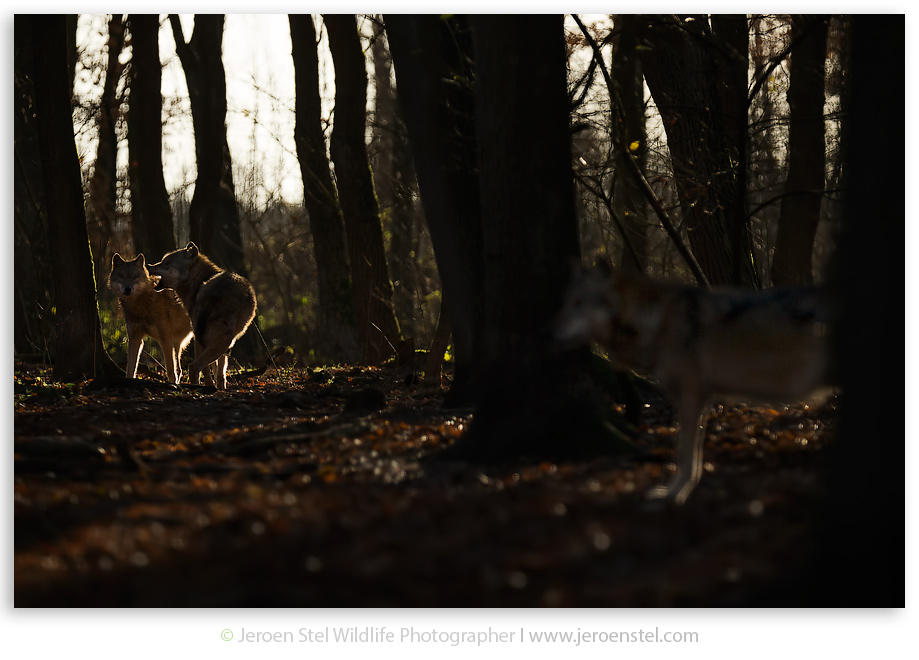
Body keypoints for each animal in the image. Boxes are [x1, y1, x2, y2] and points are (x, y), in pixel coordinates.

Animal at [107, 253, 193, 384]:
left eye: (134, 277)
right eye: (121, 276)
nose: (127, 289)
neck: (141, 305)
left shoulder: (165, 338)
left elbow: (170, 370)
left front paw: (172, 384)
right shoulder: (135, 338)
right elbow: (131, 367)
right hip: (177, 343)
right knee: (180, 369)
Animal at [147, 243, 257, 390]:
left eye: (167, 263)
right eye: (163, 261)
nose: (148, 266)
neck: (199, 282)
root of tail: (213, 292)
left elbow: (219, 372)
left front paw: (220, 388)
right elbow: (216, 369)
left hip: (212, 339)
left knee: (198, 366)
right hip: (222, 341)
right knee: (194, 366)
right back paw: (199, 388)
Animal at [555, 261, 834, 504]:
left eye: (578, 303)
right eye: (566, 303)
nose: (549, 332)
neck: (655, 320)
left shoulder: (692, 395)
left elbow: (685, 453)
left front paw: (674, 494)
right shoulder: (699, 397)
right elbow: (694, 453)